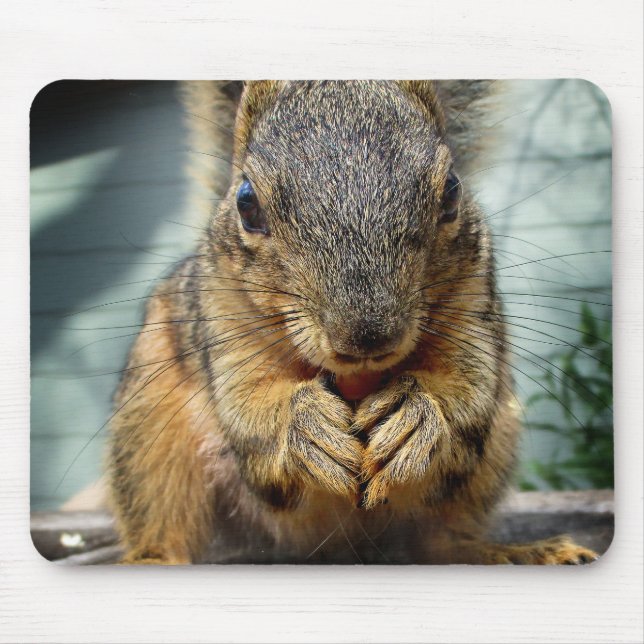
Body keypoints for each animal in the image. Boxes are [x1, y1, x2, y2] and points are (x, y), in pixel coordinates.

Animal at [107, 81, 598, 564]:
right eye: (246, 203)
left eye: (452, 191)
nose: (368, 335)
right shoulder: (224, 318)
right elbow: (251, 407)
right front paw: (304, 425)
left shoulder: (472, 303)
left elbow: (465, 393)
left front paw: (416, 417)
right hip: (148, 434)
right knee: (160, 521)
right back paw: (151, 560)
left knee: (441, 543)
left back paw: (519, 552)